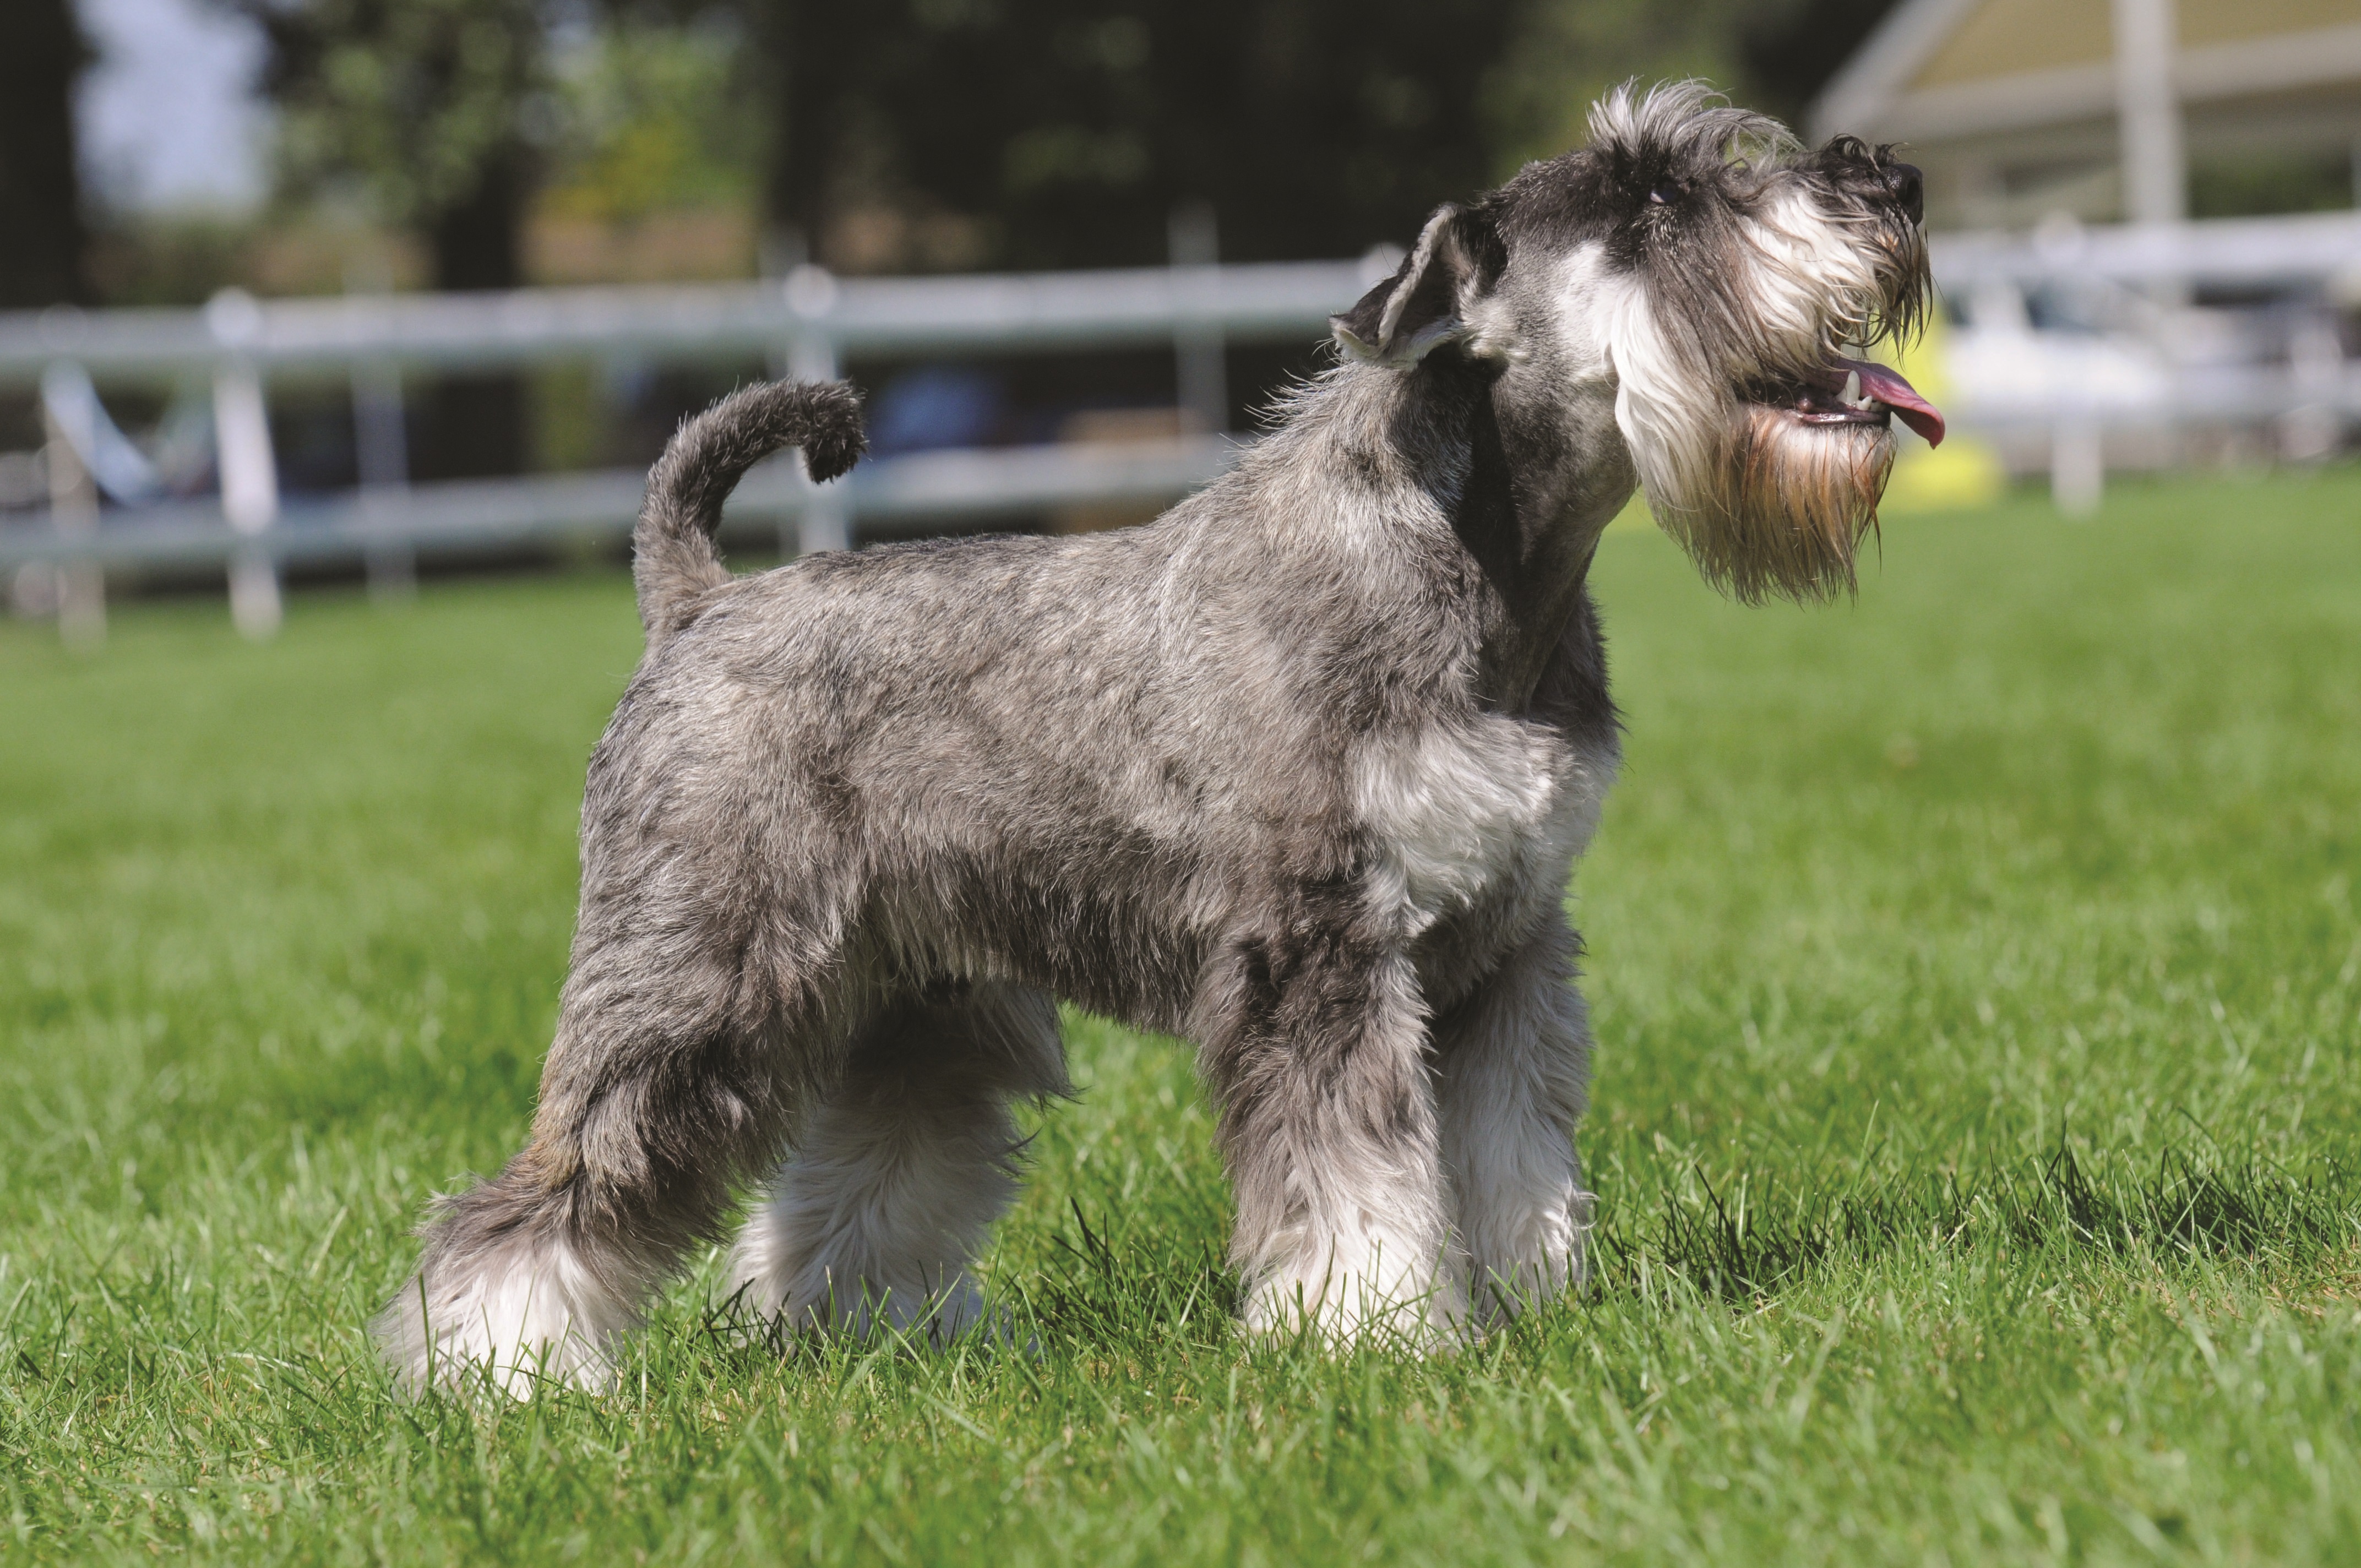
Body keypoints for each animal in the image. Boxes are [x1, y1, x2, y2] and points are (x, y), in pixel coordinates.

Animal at [382, 83, 1936, 1398]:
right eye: (1652, 202)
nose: (1889, 178)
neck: (1487, 567)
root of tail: (697, 604)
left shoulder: (1506, 943)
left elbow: (1509, 1151)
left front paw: (1531, 1304)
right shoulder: (1316, 950)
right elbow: (1351, 1171)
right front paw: (1367, 1334)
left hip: (913, 1004)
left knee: (854, 1187)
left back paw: (856, 1337)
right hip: (697, 979)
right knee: (548, 1192)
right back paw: (504, 1376)